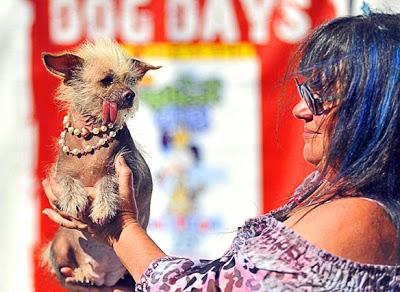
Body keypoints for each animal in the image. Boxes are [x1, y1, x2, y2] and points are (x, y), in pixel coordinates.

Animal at [41, 38, 159, 286]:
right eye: (107, 80)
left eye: (130, 80)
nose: (130, 95)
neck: (92, 134)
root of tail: (102, 276)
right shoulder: (59, 173)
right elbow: (67, 180)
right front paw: (73, 198)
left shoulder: (132, 169)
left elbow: (108, 179)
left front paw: (104, 206)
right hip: (57, 246)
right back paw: (81, 275)